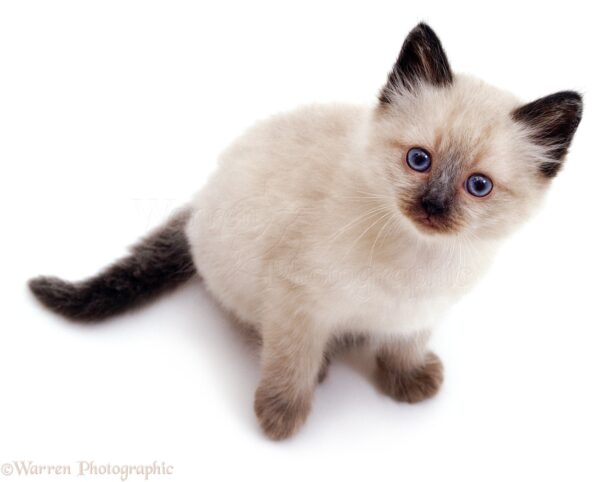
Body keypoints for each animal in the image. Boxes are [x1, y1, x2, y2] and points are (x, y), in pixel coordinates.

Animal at [28, 25, 580, 440]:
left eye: (478, 186)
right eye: (418, 160)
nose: (433, 207)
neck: (417, 255)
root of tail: (201, 201)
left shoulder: (418, 314)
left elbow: (403, 348)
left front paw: (407, 381)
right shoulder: (296, 301)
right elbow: (289, 361)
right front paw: (281, 416)